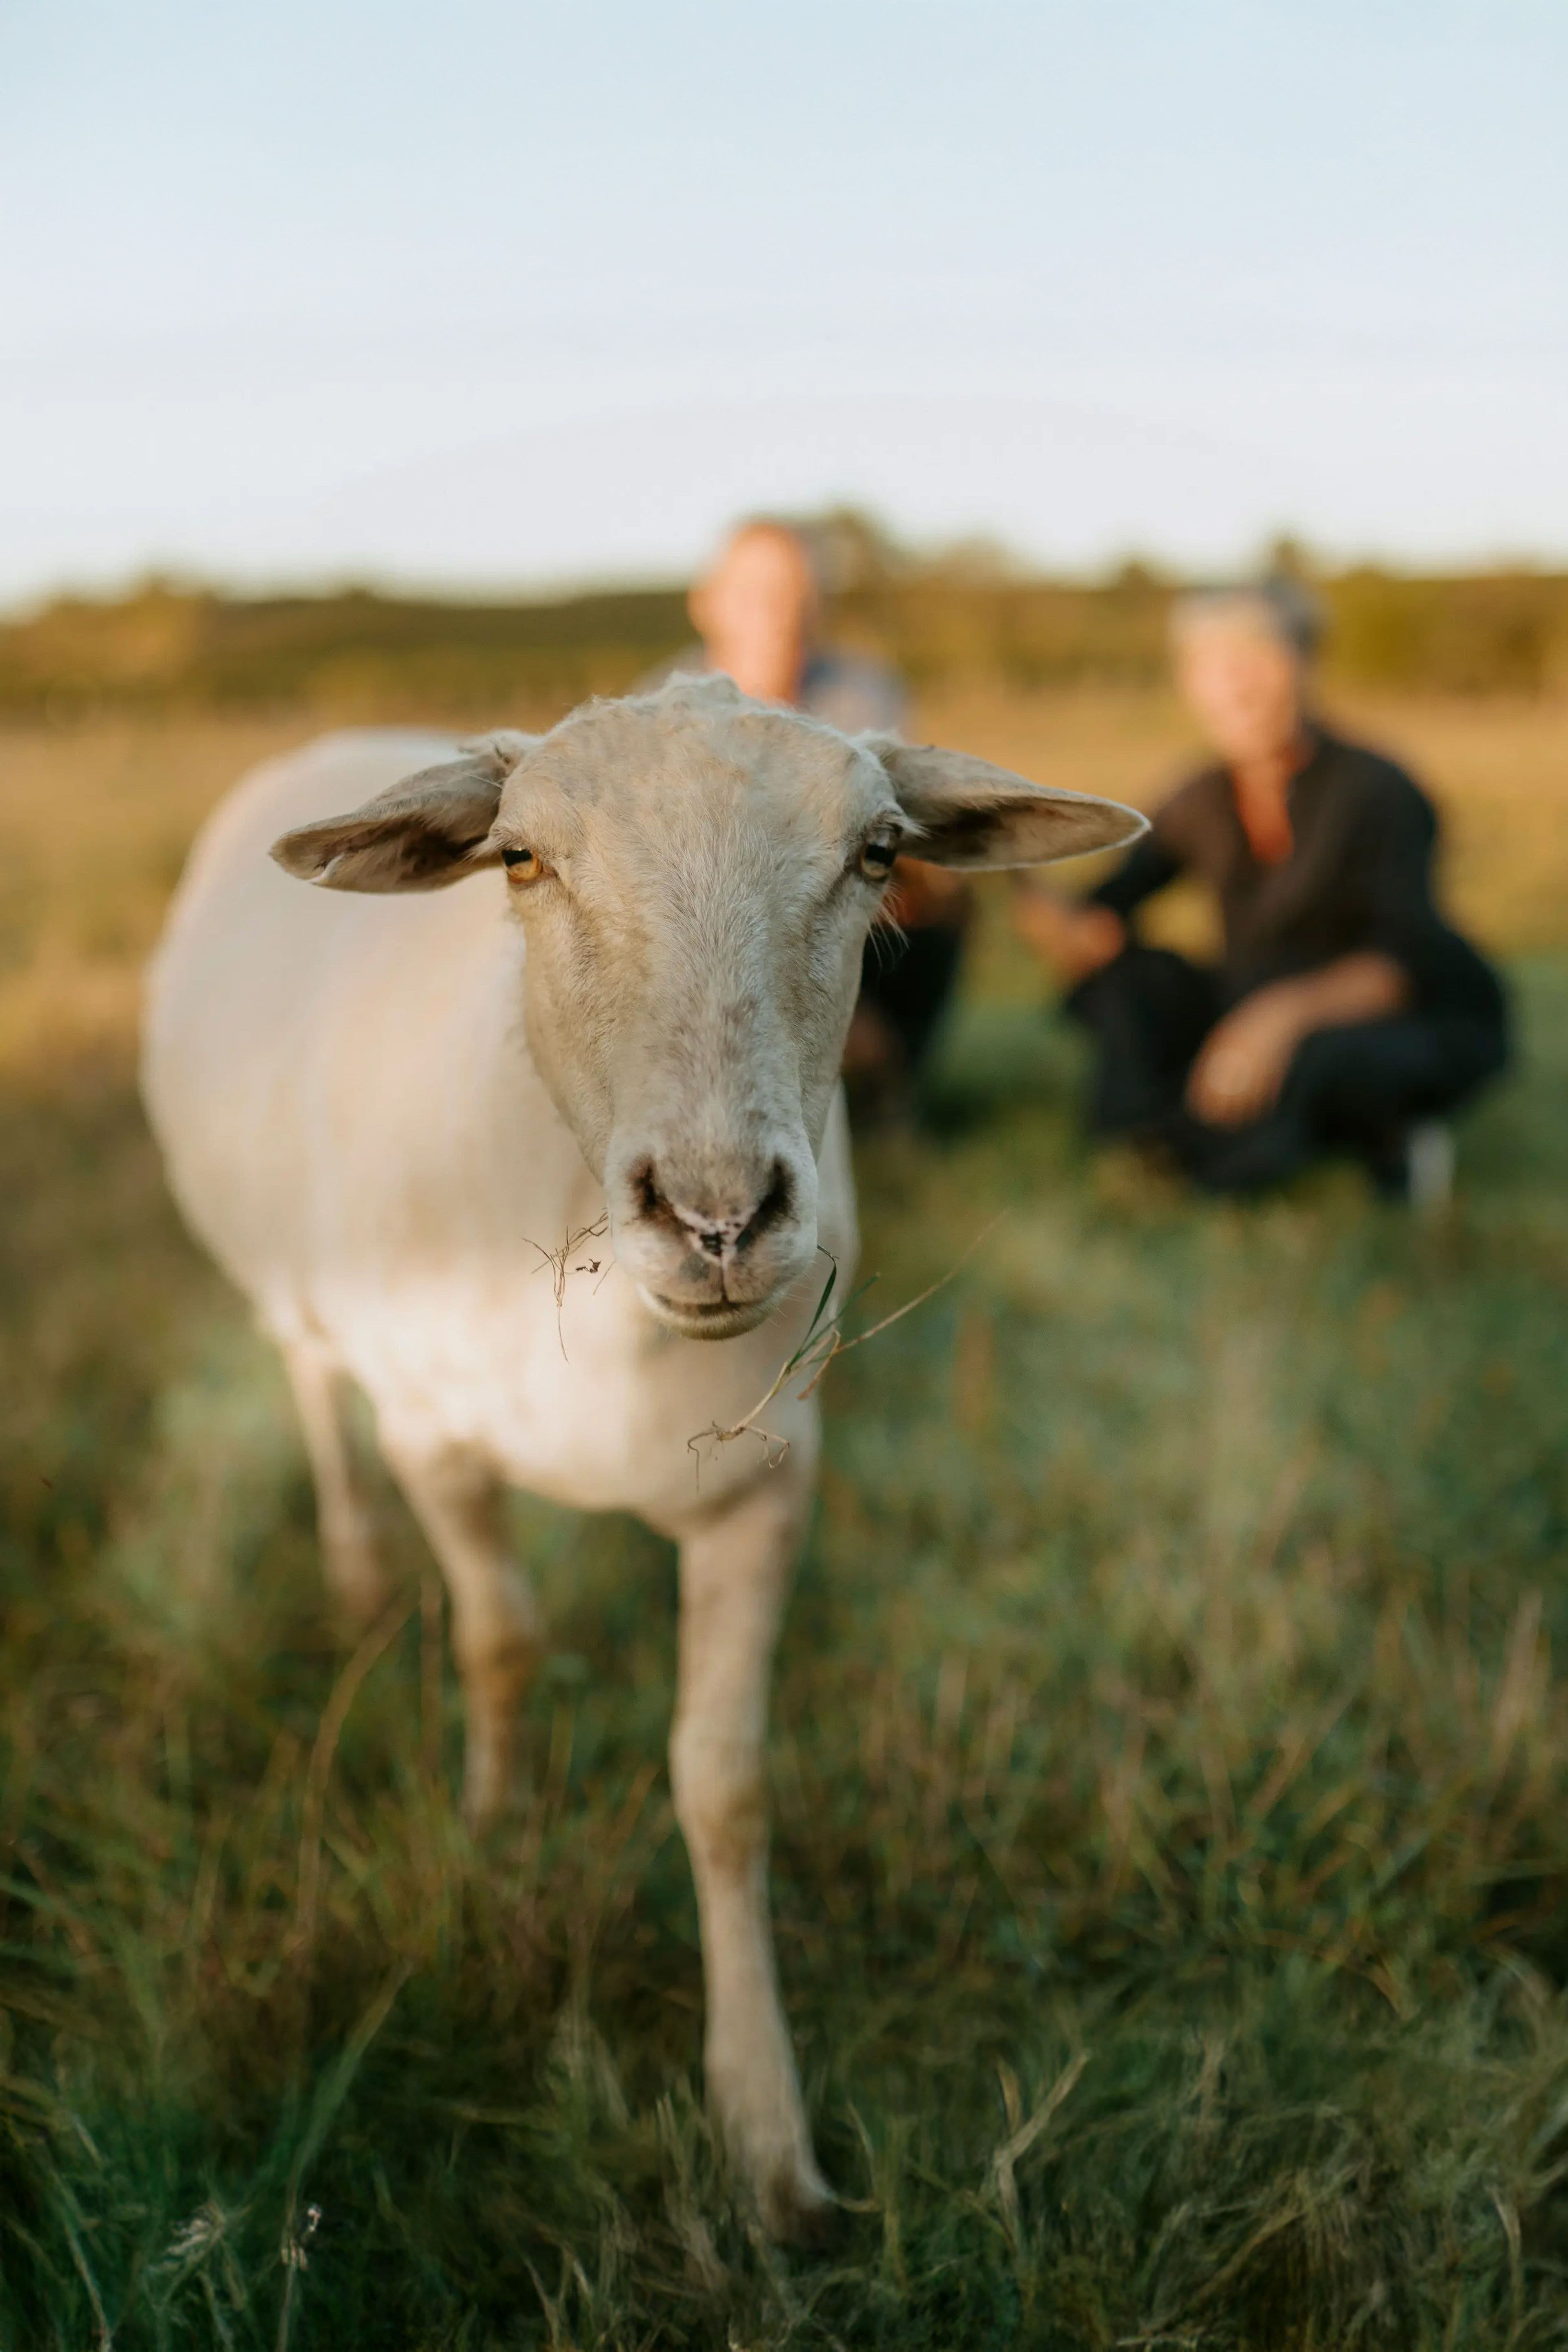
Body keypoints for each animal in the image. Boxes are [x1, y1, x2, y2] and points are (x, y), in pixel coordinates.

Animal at [141, 674, 1142, 2237]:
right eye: (518, 859)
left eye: (877, 854)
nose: (719, 1218)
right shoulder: (433, 1433)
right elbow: (498, 1643)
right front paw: (492, 1836)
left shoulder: (765, 1484)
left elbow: (723, 1788)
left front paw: (766, 2138)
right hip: (294, 1287)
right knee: (306, 1374)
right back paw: (357, 1572)